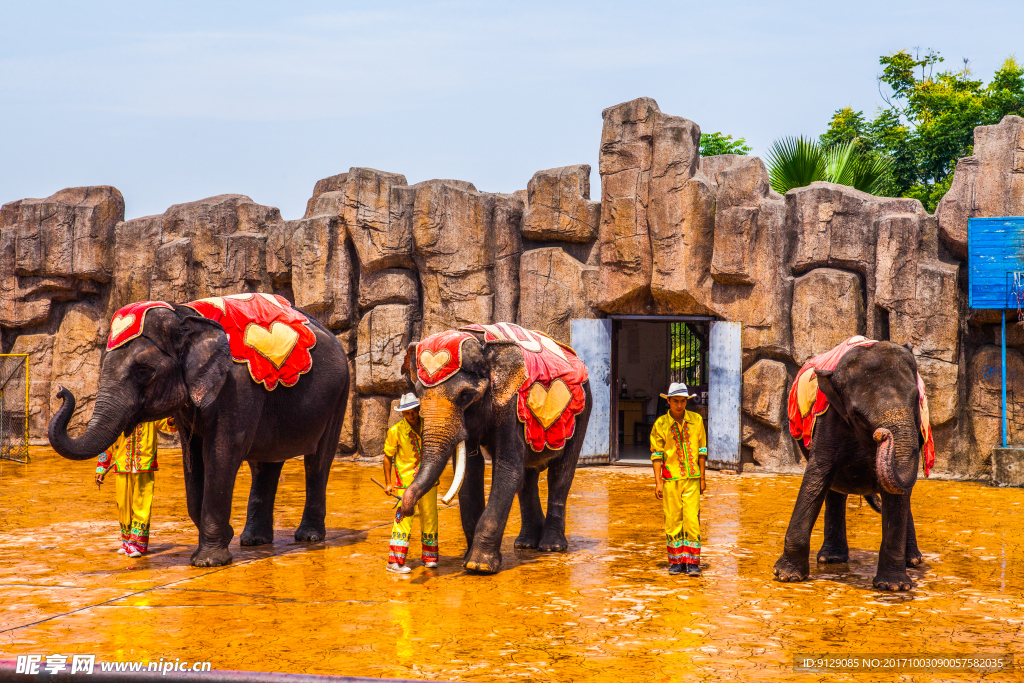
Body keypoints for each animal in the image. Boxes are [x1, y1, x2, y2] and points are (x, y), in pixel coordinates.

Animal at [48, 299, 350, 565]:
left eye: (143, 370)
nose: (61, 391)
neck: (184, 313)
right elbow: (193, 459)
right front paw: (225, 536)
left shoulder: (236, 388)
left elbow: (221, 454)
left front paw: (208, 562)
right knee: (265, 464)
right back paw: (253, 541)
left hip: (339, 394)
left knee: (318, 462)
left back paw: (309, 538)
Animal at [397, 323, 598, 573]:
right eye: (420, 394)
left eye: (465, 395)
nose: (406, 510)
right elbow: (471, 472)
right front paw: (468, 561)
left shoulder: (509, 404)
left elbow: (507, 468)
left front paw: (479, 566)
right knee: (527, 478)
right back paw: (525, 544)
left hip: (583, 409)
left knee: (560, 474)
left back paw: (551, 547)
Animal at [774, 344, 929, 589]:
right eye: (858, 415)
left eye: (916, 399)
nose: (882, 434)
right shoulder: (830, 419)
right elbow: (817, 476)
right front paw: (786, 576)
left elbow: (898, 494)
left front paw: (893, 586)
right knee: (834, 488)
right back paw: (832, 559)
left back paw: (913, 560)